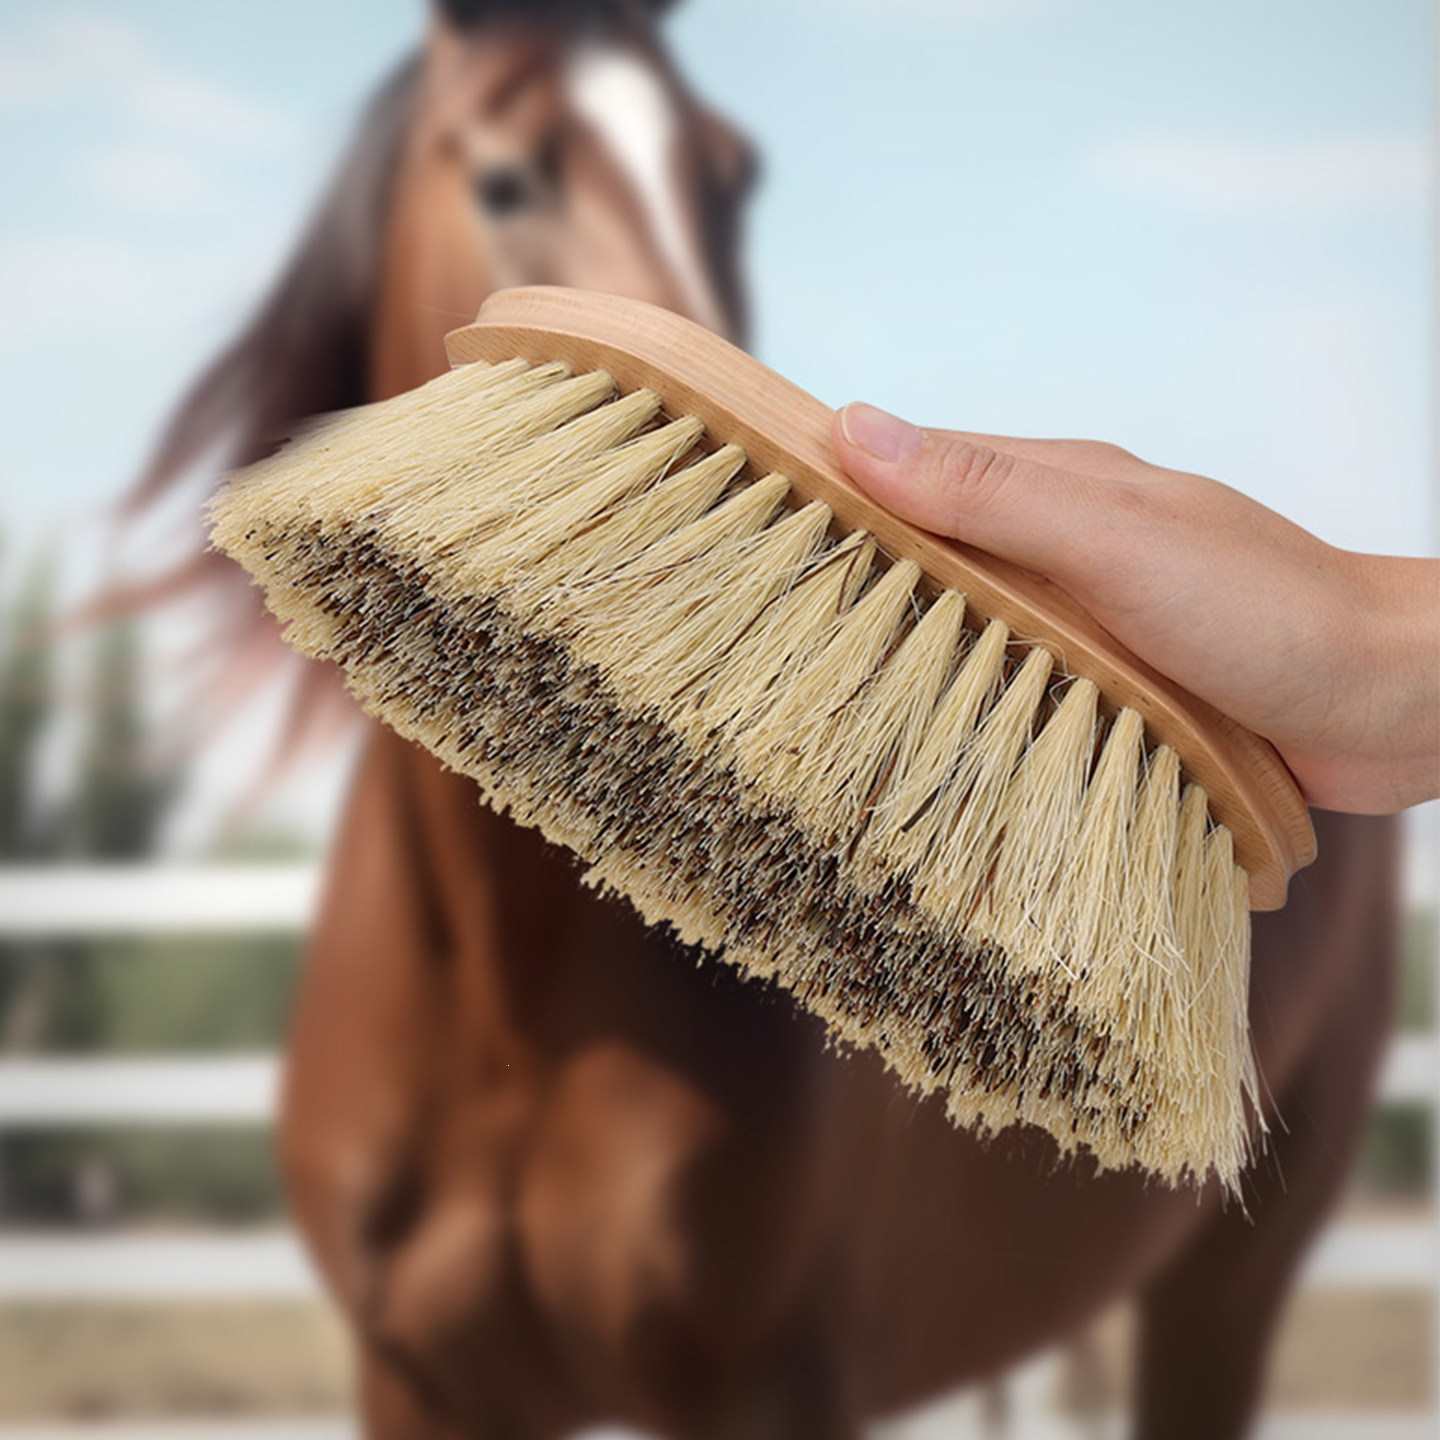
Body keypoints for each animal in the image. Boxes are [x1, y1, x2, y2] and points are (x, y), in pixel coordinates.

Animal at [134, 3, 1400, 1435]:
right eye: (504, 177)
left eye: (734, 174)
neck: (509, 1007)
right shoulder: (412, 1373)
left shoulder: (773, 1379)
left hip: (1232, 1278)